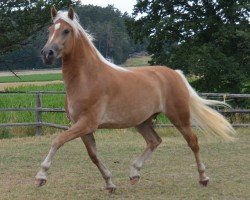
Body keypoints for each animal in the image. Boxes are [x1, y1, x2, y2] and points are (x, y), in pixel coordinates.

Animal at [34, 7, 234, 193]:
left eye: (66, 30)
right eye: (50, 29)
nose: (46, 53)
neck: (88, 78)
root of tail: (175, 73)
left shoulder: (87, 123)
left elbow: (58, 140)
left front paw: (41, 176)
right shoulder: (82, 126)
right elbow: (93, 155)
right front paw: (110, 184)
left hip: (179, 117)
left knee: (193, 142)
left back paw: (203, 178)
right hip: (143, 121)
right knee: (154, 141)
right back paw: (134, 173)